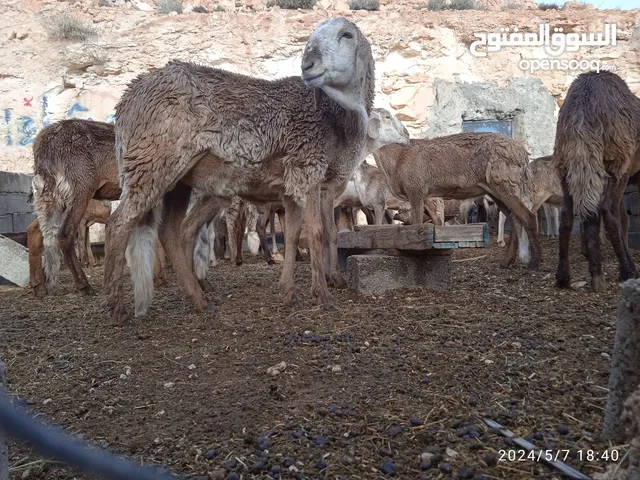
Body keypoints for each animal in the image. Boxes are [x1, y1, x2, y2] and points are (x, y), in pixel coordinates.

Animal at [27, 118, 168, 298]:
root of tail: (41, 146)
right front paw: (158, 278)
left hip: (49, 196)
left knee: (37, 231)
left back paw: (39, 286)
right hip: (79, 189)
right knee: (65, 234)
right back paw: (83, 285)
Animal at [103, 16, 378, 324]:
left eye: (346, 35)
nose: (308, 64)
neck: (335, 117)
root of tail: (127, 99)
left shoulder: (294, 184)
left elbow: (294, 235)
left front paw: (288, 292)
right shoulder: (308, 170)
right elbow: (318, 233)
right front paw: (324, 295)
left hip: (177, 178)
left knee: (171, 232)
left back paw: (199, 299)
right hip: (149, 162)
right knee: (118, 226)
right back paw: (117, 307)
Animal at [372, 131, 544, 270]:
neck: (395, 161)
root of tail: (523, 155)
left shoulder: (416, 190)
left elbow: (417, 225)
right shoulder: (425, 195)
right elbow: (435, 221)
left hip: (504, 183)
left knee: (527, 216)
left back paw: (535, 262)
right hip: (496, 190)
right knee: (515, 218)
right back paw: (506, 262)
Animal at [552, 69, 640, 290]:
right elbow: (623, 218)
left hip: (566, 165)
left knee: (569, 214)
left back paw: (567, 275)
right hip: (616, 163)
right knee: (608, 212)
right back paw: (626, 271)